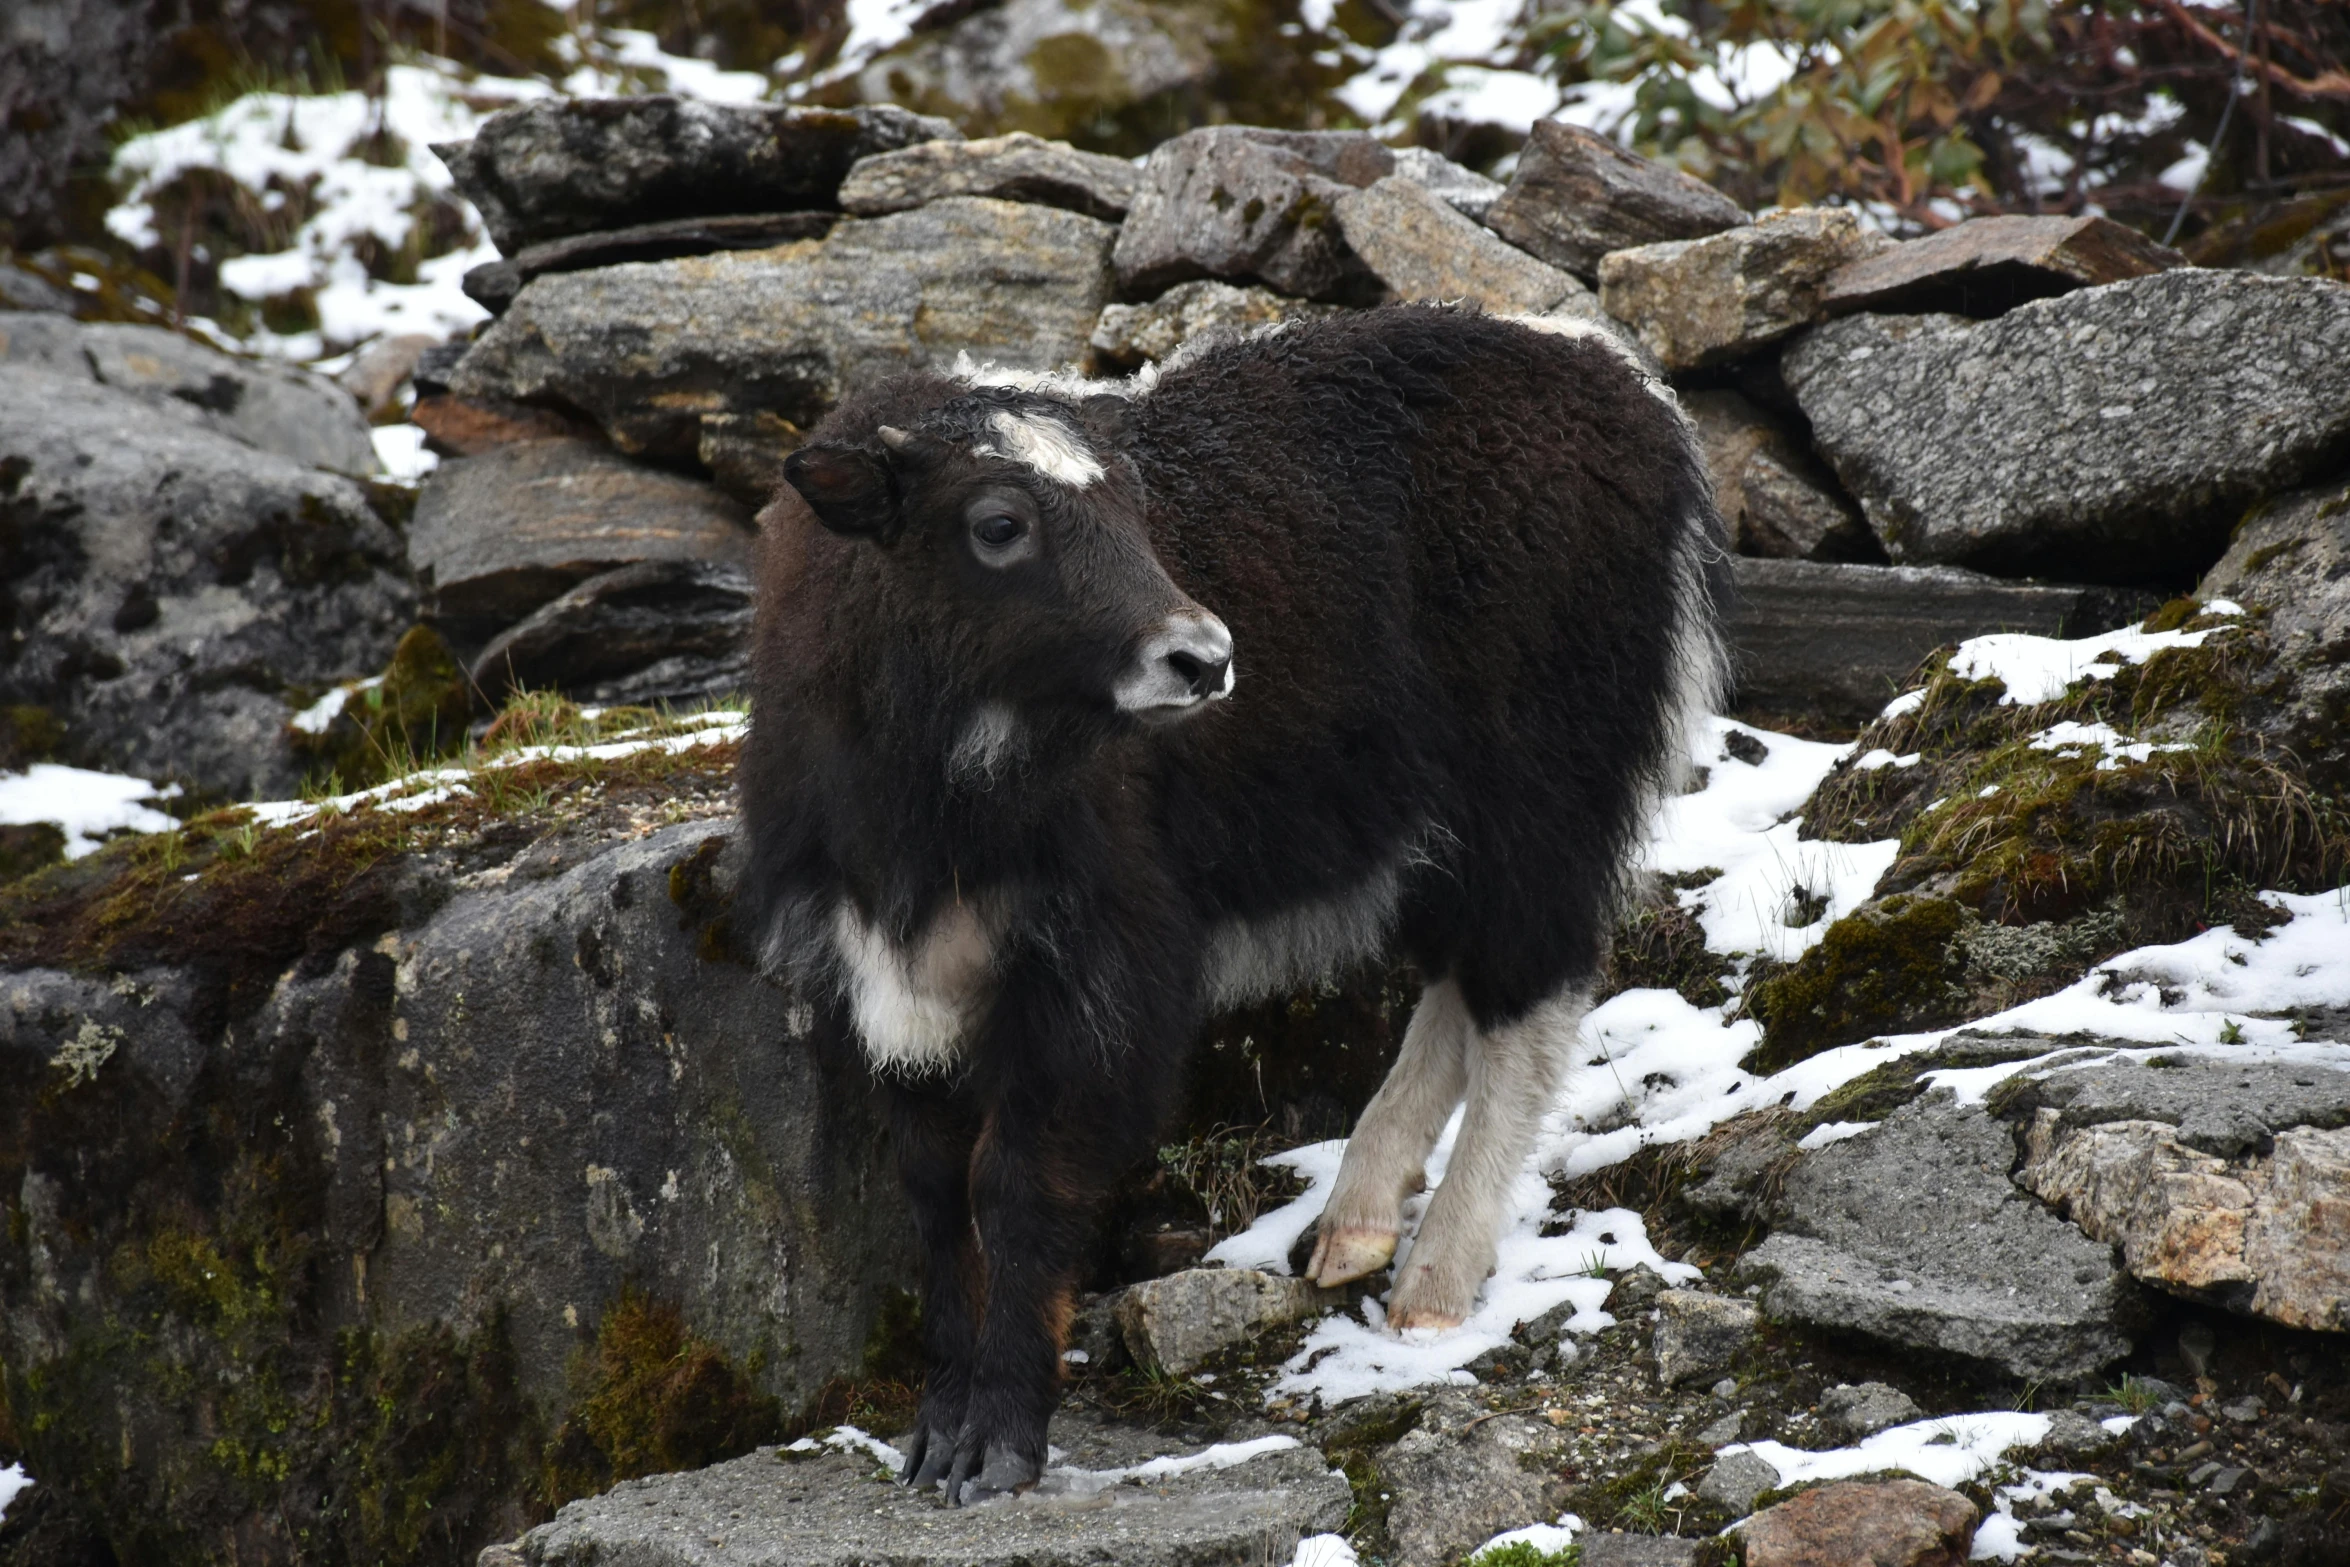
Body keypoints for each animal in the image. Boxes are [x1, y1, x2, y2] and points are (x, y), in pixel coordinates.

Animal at [742, 305, 1738, 1503]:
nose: (1203, 658)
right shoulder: (885, 978)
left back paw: (1433, 1283)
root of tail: (1620, 377)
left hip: (1544, 787)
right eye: (997, 524)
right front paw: (938, 1437)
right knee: (1462, 982)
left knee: (1527, 995)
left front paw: (1001, 1445)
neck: (926, 793)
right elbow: (938, 1199)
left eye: (1136, 508)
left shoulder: (1106, 964)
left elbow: (1020, 1183)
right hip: (1442, 823)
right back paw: (1354, 1224)